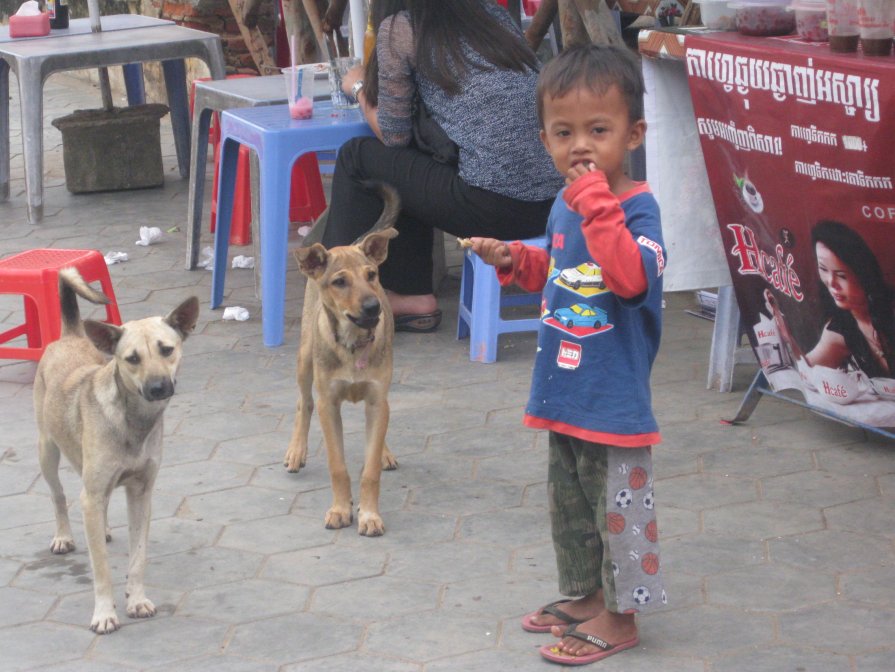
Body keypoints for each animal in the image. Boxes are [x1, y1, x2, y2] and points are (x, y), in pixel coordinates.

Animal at [33, 266, 200, 632]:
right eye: (132, 359)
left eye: (167, 349)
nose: (158, 387)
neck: (133, 420)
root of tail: (71, 335)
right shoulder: (94, 491)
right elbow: (101, 568)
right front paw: (104, 613)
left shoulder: (141, 493)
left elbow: (138, 557)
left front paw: (136, 600)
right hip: (47, 452)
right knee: (59, 496)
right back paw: (64, 535)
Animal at [286, 182, 400, 536]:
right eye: (339, 282)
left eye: (372, 275)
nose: (373, 308)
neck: (353, 345)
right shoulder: (329, 403)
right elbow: (338, 465)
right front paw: (340, 509)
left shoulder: (377, 398)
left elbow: (370, 468)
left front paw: (369, 514)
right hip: (304, 359)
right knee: (303, 402)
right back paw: (296, 451)